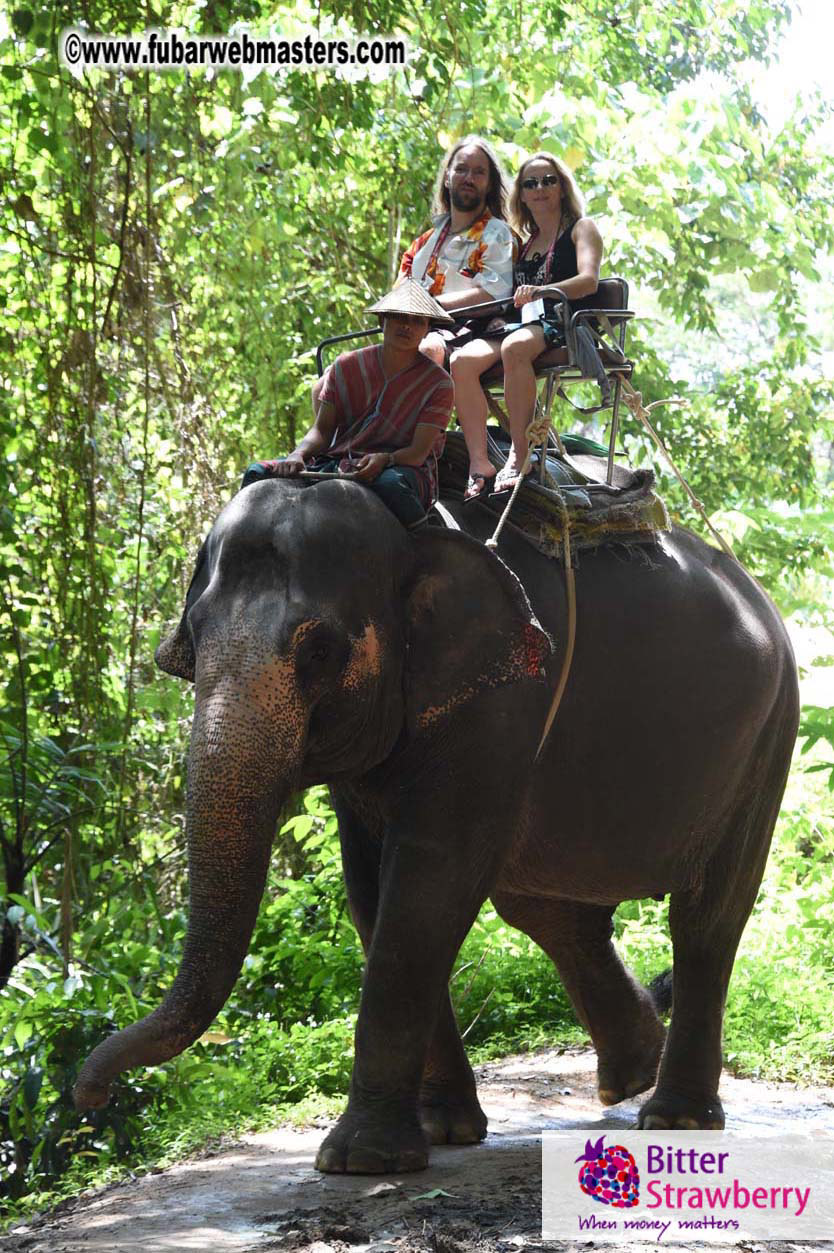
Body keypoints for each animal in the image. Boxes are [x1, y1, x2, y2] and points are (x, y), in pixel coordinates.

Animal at [74, 475, 799, 1173]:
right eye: (193, 638)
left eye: (319, 650)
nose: (90, 1094)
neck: (410, 533)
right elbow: (370, 891)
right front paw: (443, 1131)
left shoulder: (503, 699)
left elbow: (427, 882)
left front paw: (360, 1159)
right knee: (543, 906)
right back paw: (629, 1075)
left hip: (769, 736)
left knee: (706, 916)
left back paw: (674, 1116)